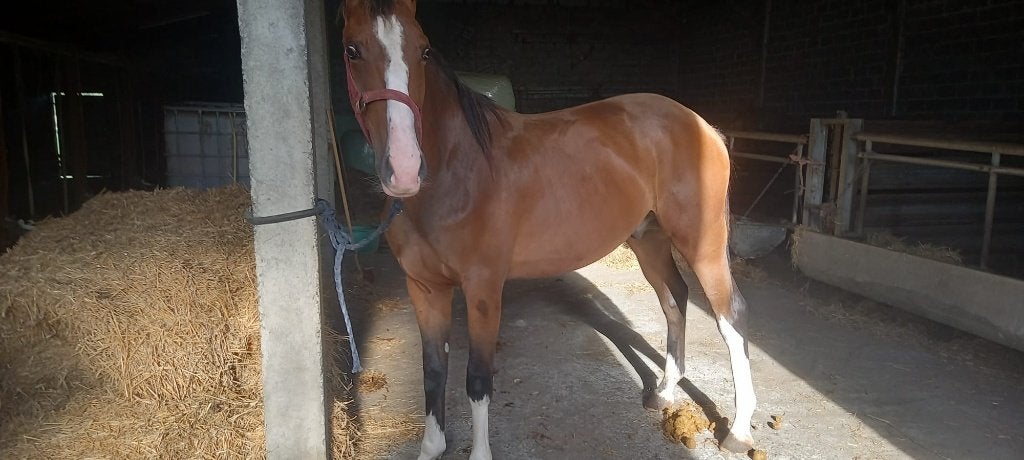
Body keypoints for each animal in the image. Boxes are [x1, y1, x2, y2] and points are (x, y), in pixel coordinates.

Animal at [340, 0, 756, 457]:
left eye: (424, 50)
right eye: (352, 50)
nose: (405, 168)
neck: (457, 170)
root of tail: (703, 126)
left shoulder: (483, 289)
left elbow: (477, 379)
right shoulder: (424, 288)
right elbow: (433, 372)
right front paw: (432, 447)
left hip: (703, 245)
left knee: (729, 316)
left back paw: (738, 430)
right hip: (649, 242)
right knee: (675, 300)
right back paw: (664, 393)